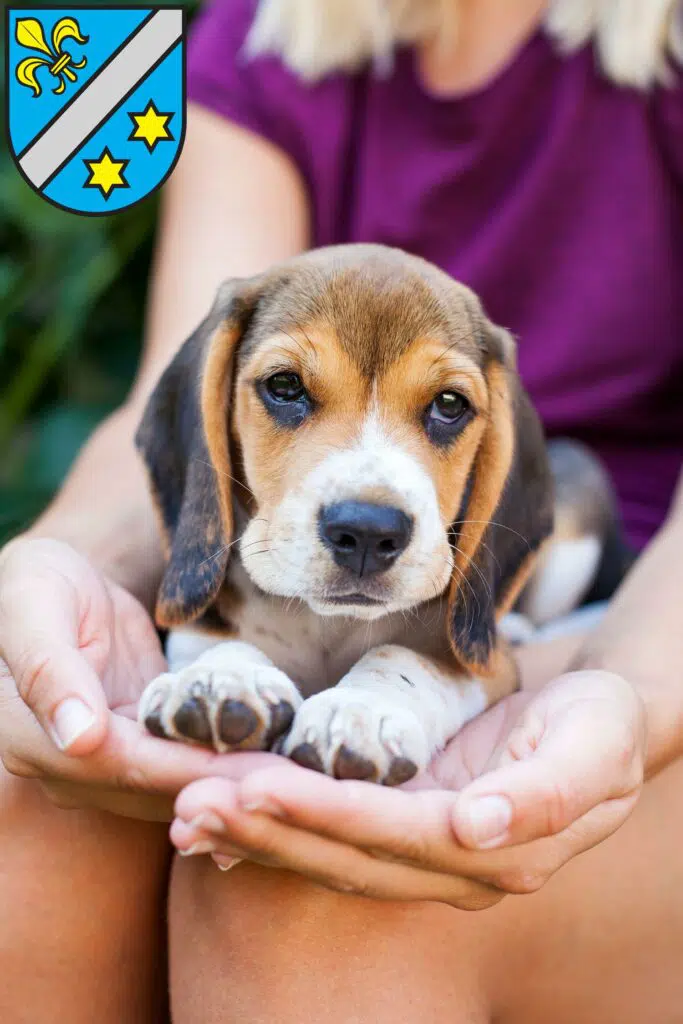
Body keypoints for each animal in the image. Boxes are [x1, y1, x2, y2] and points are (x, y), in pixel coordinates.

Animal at [135, 241, 610, 782]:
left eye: (450, 404)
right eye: (285, 386)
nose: (366, 532)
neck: (330, 624)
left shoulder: (487, 666)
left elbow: (401, 656)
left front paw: (359, 711)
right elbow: (214, 640)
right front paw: (221, 677)